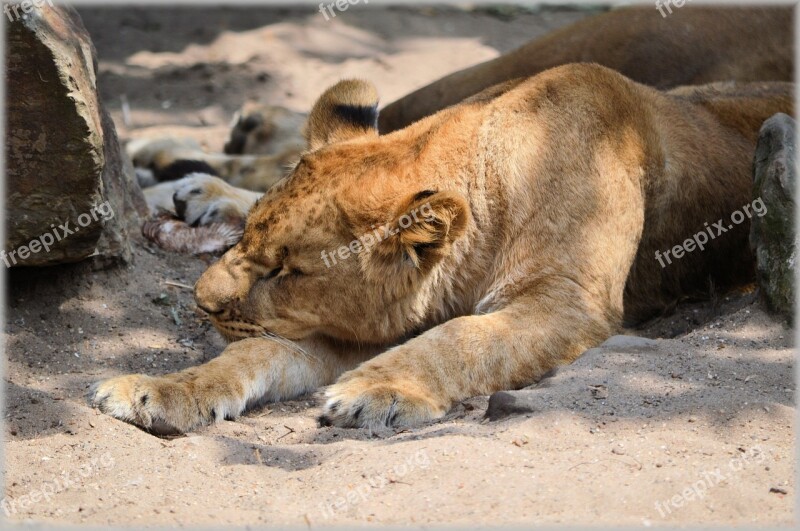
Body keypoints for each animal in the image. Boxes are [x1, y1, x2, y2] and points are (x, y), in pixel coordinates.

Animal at [90, 66, 792, 434]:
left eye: (287, 271)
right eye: (251, 244)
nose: (200, 304)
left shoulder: (567, 302)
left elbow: (462, 339)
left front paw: (379, 390)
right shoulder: (350, 326)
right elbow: (250, 356)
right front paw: (155, 390)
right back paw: (193, 182)